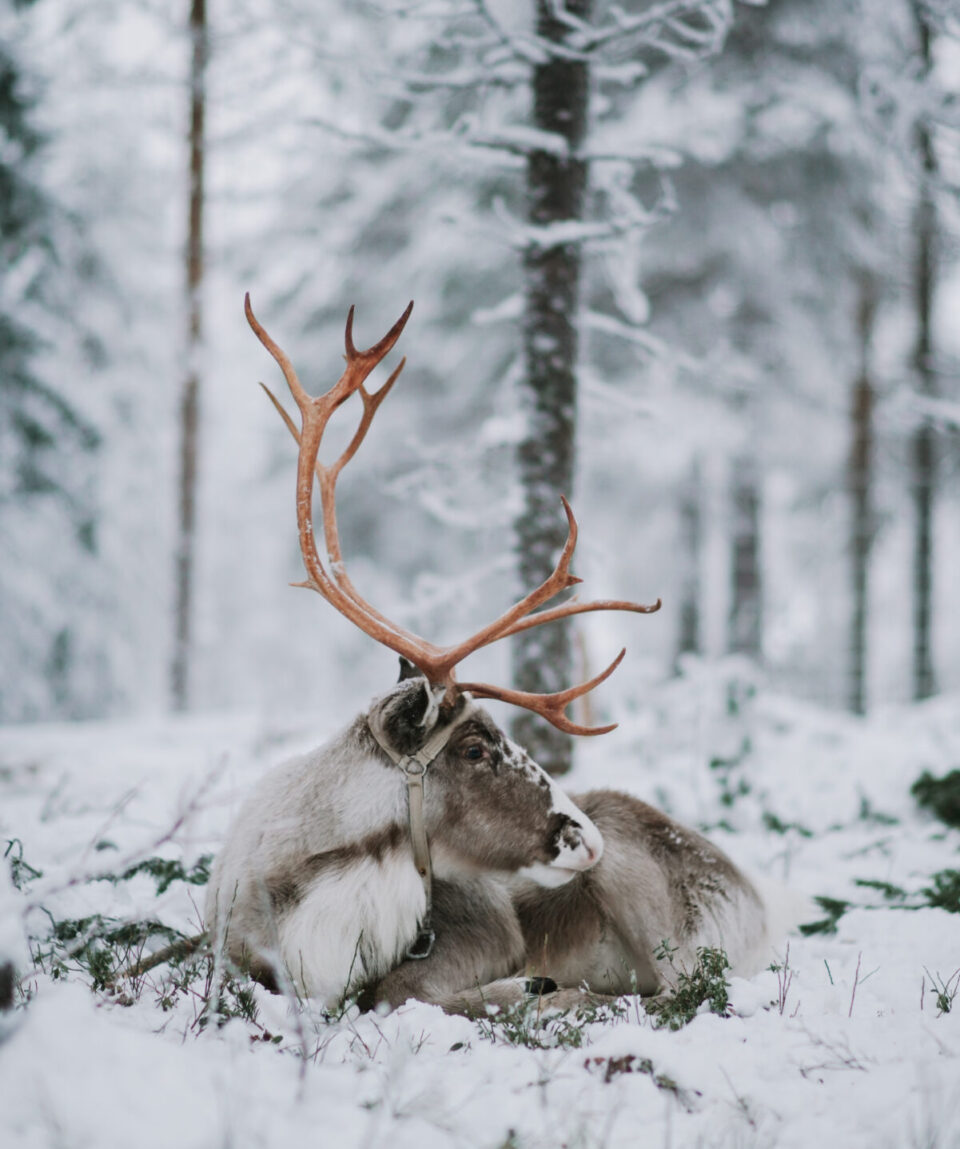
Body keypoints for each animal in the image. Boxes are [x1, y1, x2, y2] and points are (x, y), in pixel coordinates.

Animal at [204, 296, 779, 1018]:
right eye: (474, 748)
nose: (586, 838)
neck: (306, 884)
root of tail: (754, 895)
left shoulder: (486, 931)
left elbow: (399, 992)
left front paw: (530, 984)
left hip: (646, 895)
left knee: (677, 992)